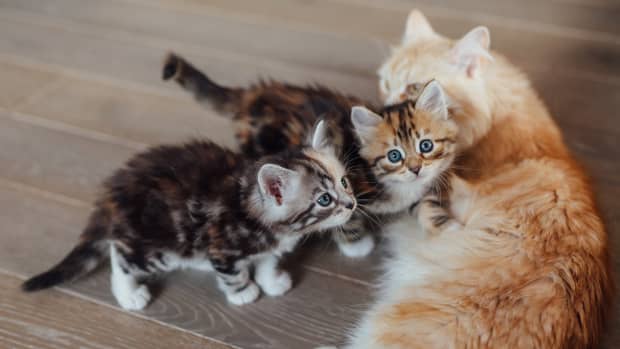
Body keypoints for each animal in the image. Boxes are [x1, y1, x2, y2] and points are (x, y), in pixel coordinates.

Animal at [21, 121, 356, 308]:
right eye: (324, 199)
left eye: (344, 182)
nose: (352, 204)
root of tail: (112, 192)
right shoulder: (221, 247)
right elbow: (234, 273)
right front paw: (244, 293)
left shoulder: (271, 245)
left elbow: (267, 260)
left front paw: (271, 281)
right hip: (157, 246)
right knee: (121, 256)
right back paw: (130, 296)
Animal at [162, 53, 458, 256]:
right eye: (395, 156)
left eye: (425, 146)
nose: (416, 168)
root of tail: (252, 95)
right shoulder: (347, 188)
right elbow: (347, 217)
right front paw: (357, 245)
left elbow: (428, 206)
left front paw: (448, 231)